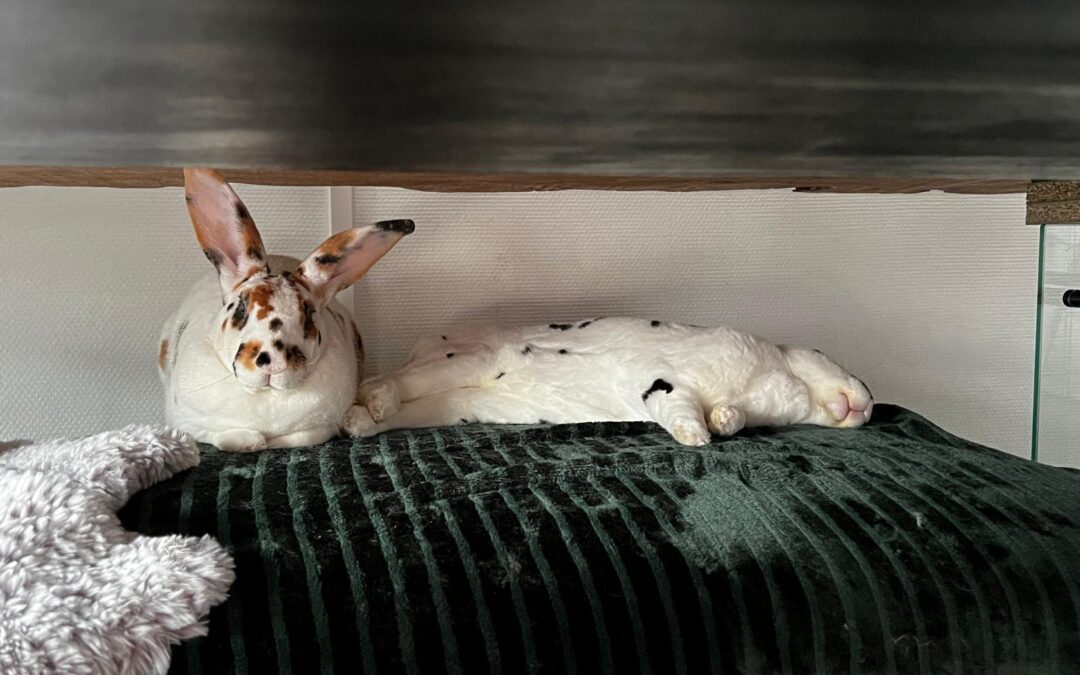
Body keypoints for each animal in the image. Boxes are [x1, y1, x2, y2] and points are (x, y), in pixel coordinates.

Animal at [158, 169, 413, 452]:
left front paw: (266, 442)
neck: (265, 397)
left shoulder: (322, 428)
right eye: (241, 306)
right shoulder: (186, 424)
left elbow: (299, 437)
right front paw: (252, 442)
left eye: (309, 313)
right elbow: (219, 435)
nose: (273, 360)